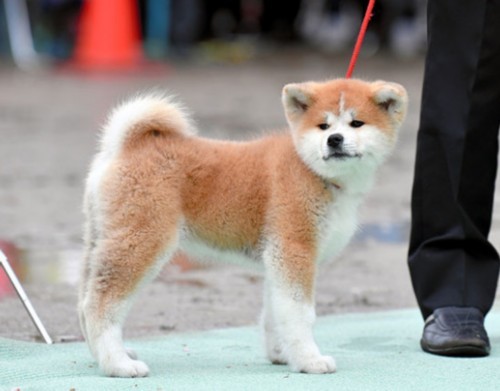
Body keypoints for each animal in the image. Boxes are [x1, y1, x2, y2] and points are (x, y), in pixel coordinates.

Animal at [78, 79, 406, 376]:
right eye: (323, 126)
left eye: (356, 123)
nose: (334, 140)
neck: (311, 169)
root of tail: (127, 146)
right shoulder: (294, 250)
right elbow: (300, 314)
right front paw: (310, 360)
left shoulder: (277, 258)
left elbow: (275, 314)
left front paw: (282, 354)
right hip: (142, 241)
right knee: (100, 304)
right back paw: (118, 364)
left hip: (102, 239)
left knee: (84, 301)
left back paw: (103, 356)